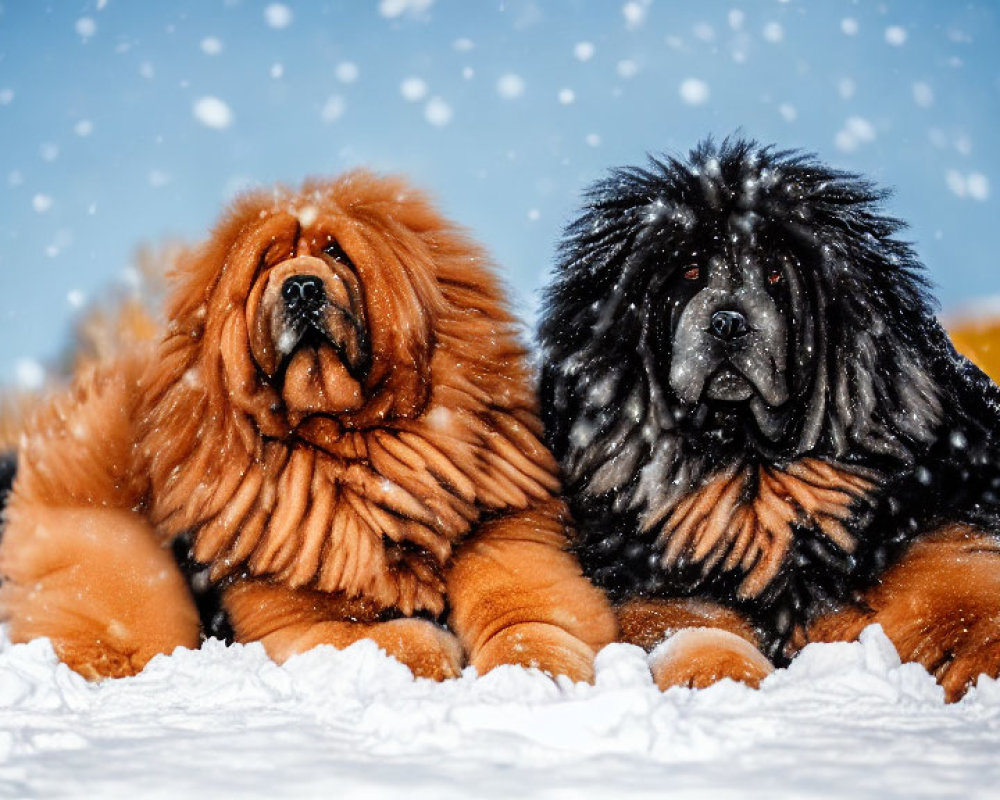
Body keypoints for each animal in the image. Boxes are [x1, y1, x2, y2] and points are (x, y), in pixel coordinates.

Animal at [0, 172, 612, 680]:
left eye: (336, 253)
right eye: (264, 269)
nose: (299, 286)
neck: (352, 450)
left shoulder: (509, 539)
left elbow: (524, 616)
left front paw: (530, 674)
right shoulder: (289, 621)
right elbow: (370, 637)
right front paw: (435, 649)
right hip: (126, 567)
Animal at [544, 138, 1000, 700]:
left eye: (777, 277)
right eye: (690, 274)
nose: (727, 322)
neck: (754, 461)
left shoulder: (942, 539)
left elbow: (968, 602)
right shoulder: (660, 582)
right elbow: (694, 630)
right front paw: (724, 683)